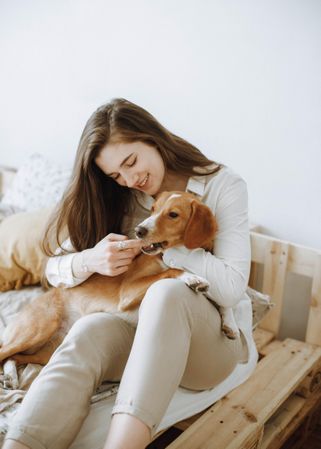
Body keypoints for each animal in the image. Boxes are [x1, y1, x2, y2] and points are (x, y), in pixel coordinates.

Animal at [0, 191, 239, 366]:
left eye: (173, 214)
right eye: (153, 209)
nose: (139, 230)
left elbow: (224, 301)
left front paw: (230, 323)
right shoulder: (128, 291)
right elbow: (169, 271)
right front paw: (191, 277)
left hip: (47, 351)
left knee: (16, 358)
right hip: (38, 328)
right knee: (4, 351)